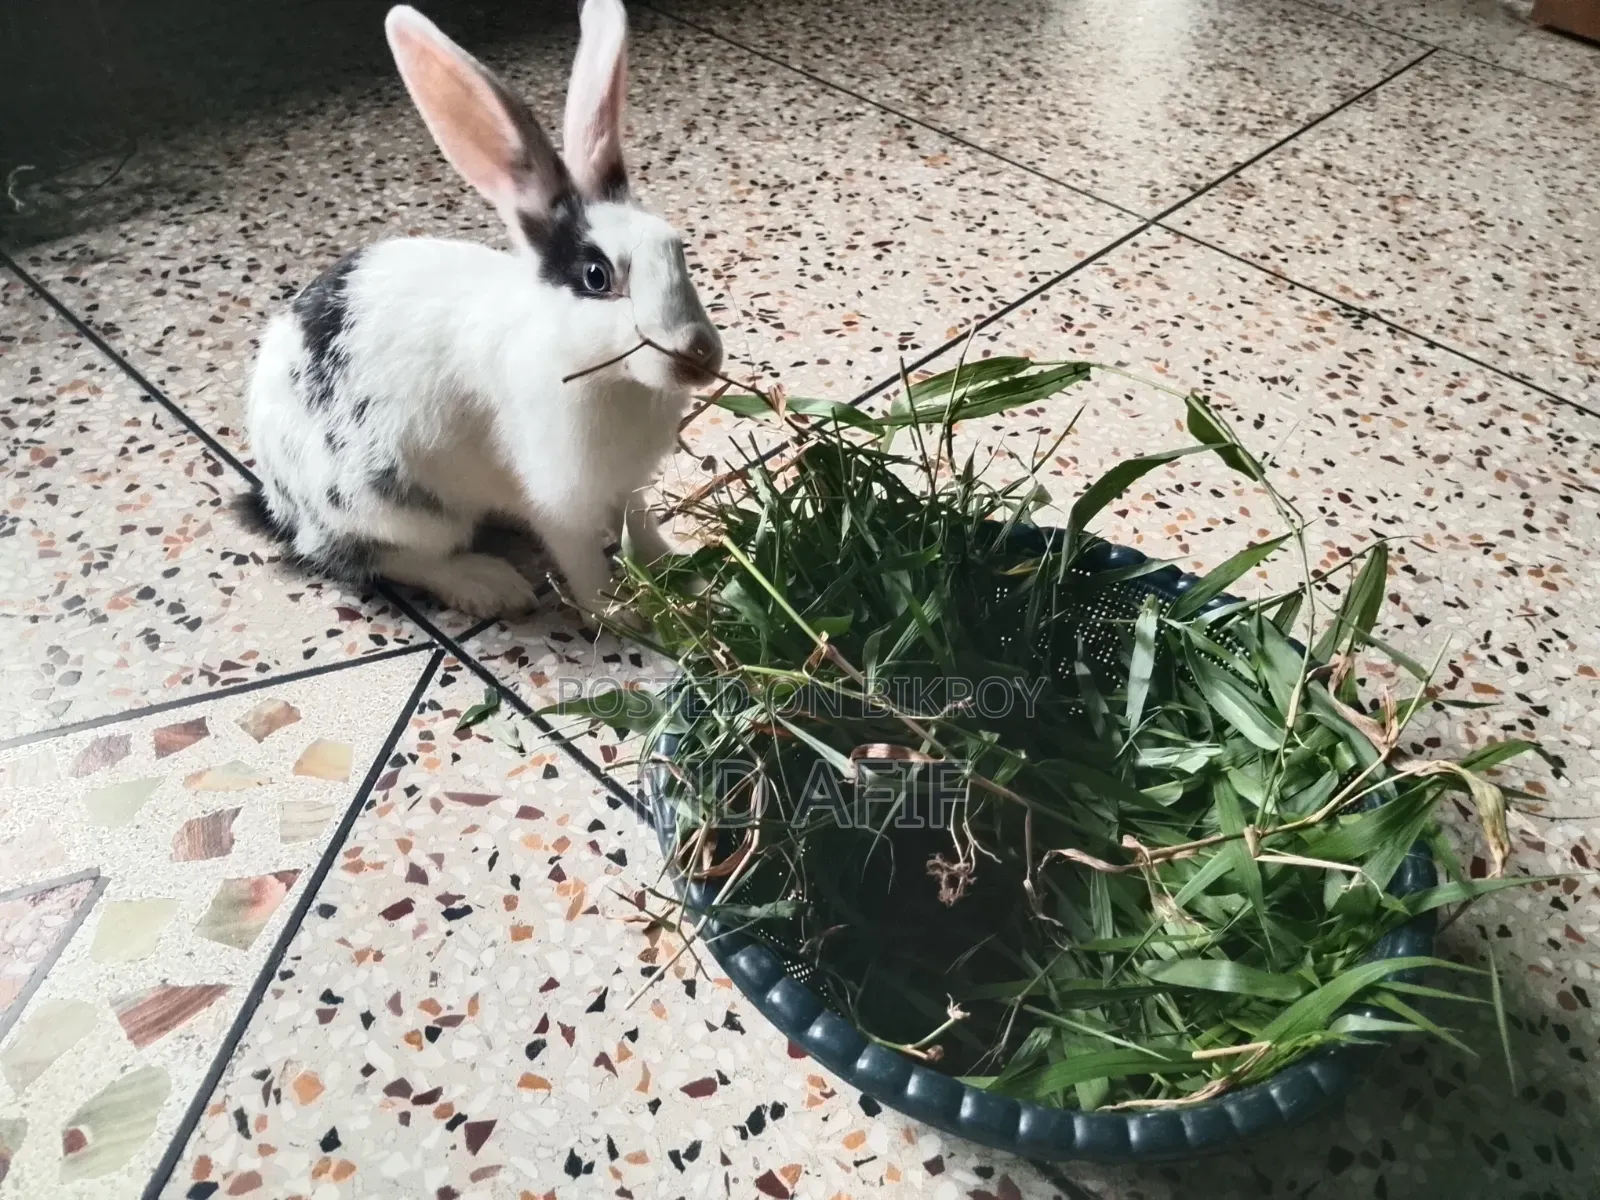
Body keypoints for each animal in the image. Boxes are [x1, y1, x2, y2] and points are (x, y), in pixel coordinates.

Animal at [236, 0, 722, 619]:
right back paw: (490, 585)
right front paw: (620, 612)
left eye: (677, 247)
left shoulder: (626, 485)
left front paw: (686, 575)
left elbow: (640, 526)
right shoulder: (558, 498)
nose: (700, 356)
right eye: (597, 277)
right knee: (371, 558)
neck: (605, 374)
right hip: (398, 509)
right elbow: (583, 560)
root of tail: (280, 499)